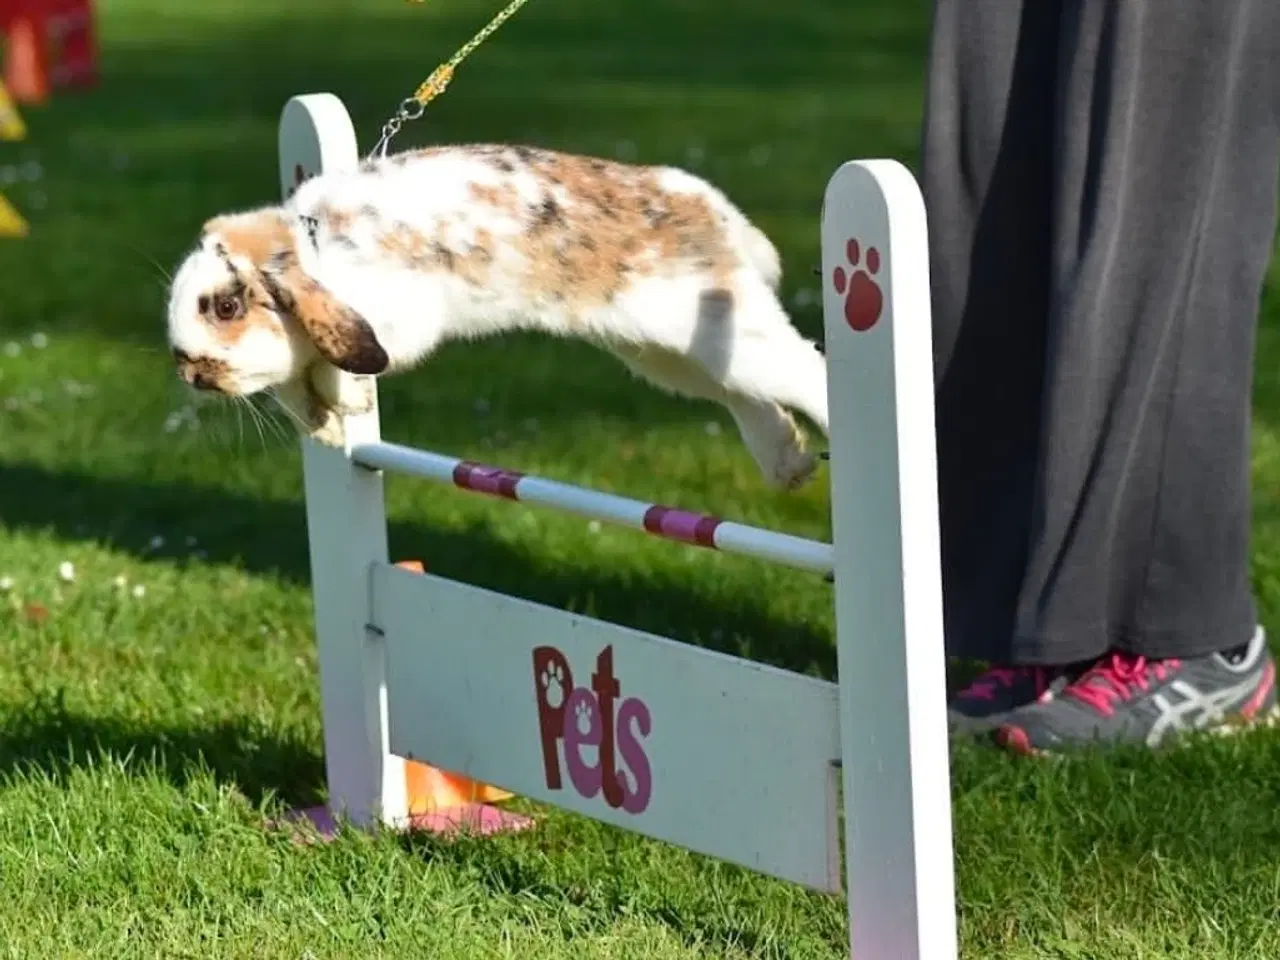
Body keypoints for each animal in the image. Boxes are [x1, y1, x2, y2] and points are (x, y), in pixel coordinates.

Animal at [165, 142, 829, 488]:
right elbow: (294, 389)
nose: (191, 372)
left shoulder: (398, 321)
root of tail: (710, 208)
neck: (318, 254)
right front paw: (328, 427)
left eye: (226, 305)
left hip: (722, 331)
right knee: (745, 395)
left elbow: (337, 366)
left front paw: (346, 400)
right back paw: (788, 465)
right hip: (671, 354)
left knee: (805, 372)